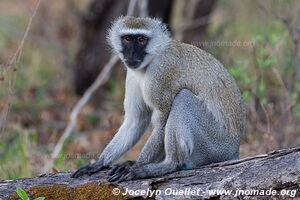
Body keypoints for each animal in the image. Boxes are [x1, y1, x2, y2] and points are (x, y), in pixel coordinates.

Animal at [71, 16, 245, 181]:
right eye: (128, 38)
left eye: (141, 39)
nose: (131, 53)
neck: (152, 58)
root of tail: (234, 149)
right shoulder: (132, 75)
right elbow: (136, 120)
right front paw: (99, 163)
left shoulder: (161, 73)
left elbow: (161, 122)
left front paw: (135, 166)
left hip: (214, 145)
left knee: (183, 98)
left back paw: (168, 165)